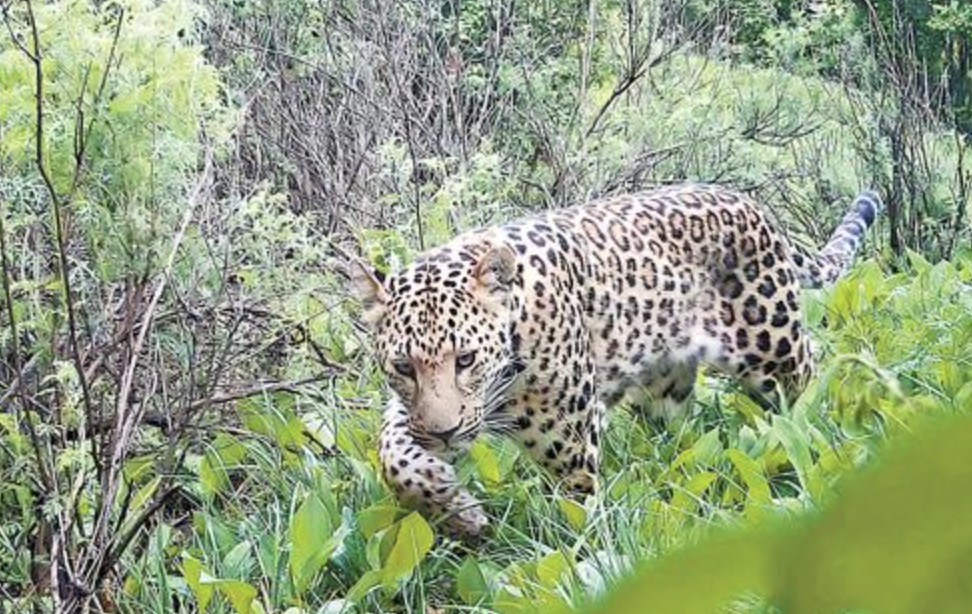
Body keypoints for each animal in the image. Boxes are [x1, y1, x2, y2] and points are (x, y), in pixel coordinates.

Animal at [350, 184, 881, 537]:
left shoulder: (569, 437)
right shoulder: (422, 412)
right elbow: (392, 451)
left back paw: (827, 432)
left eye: (465, 359)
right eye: (403, 368)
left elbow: (577, 509)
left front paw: (578, 556)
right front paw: (453, 506)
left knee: (809, 368)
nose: (443, 436)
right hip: (664, 387)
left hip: (770, 341)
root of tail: (749, 202)